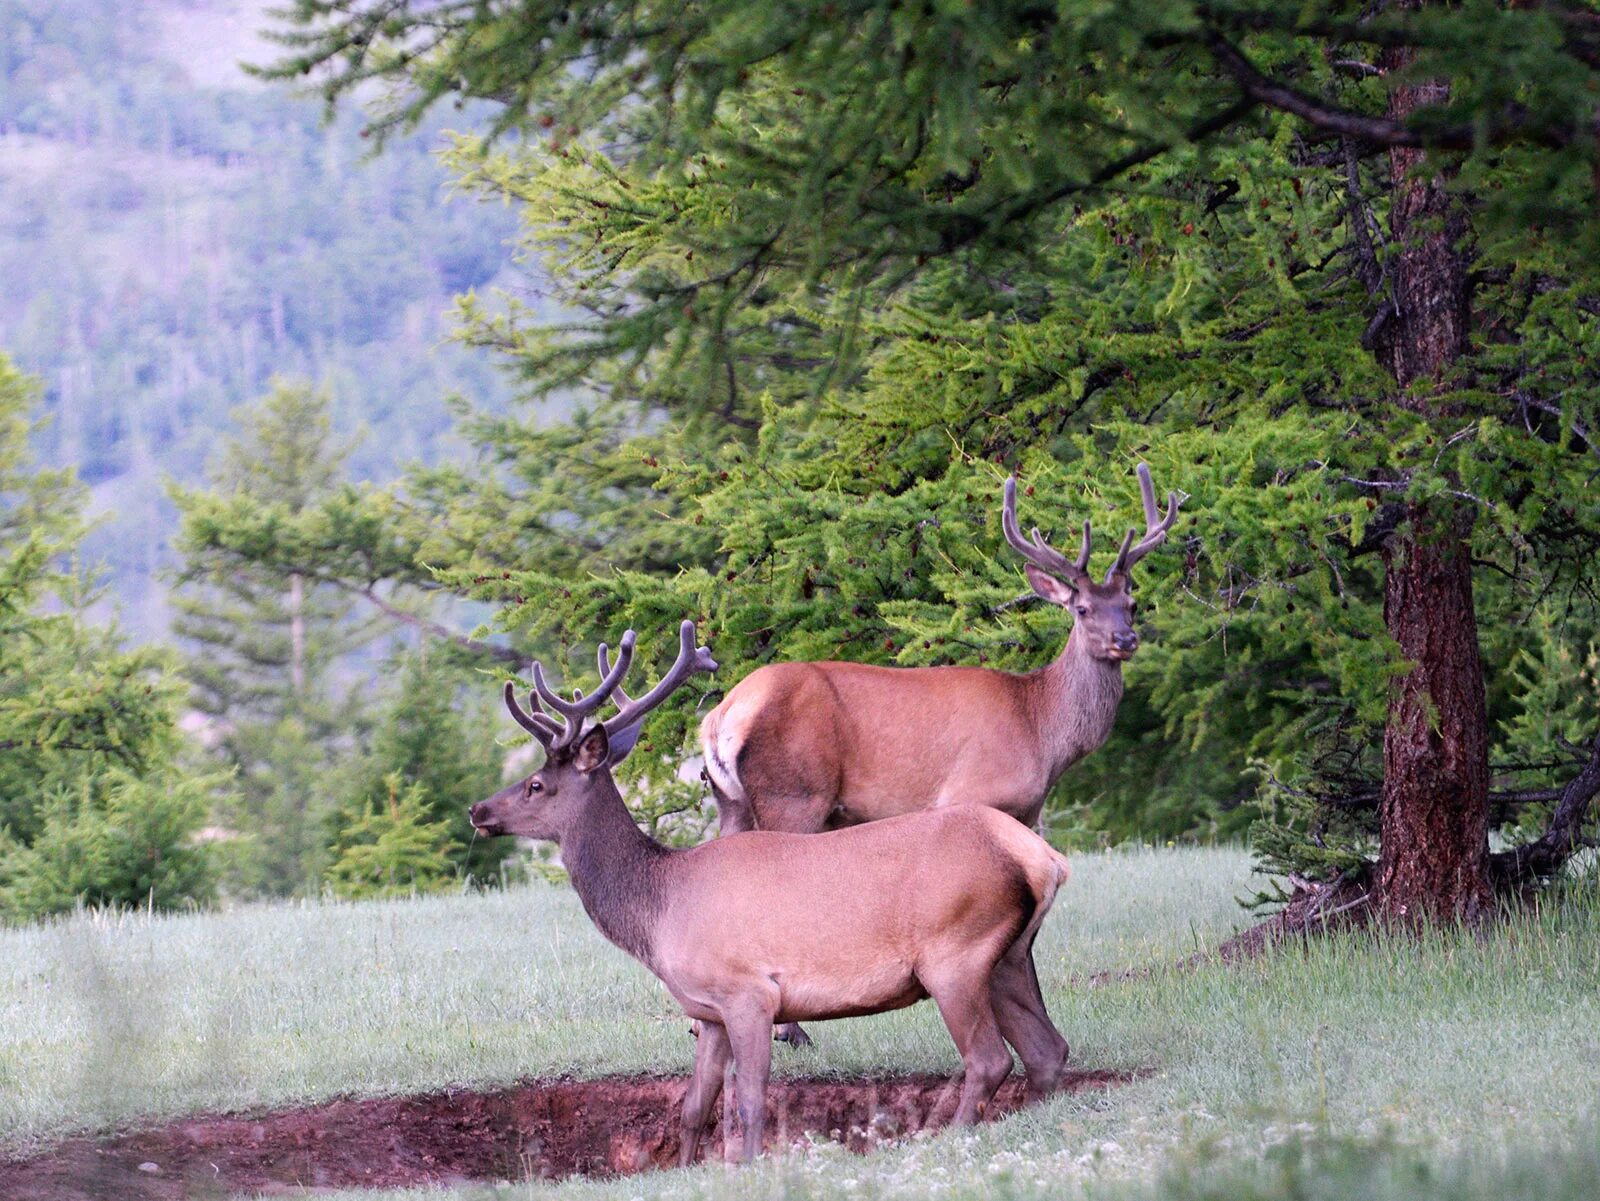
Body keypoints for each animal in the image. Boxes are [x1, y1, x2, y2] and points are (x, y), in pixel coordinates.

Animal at [470, 620, 1075, 1164]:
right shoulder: (710, 1011)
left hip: (955, 952)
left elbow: (750, 1100)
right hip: (1008, 955)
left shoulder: (749, 993)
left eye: (536, 785)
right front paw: (686, 1167)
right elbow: (694, 1106)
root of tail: (1043, 858)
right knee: (1048, 1051)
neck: (659, 908)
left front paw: (750, 1163)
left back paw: (948, 1138)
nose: (478, 810)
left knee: (990, 1059)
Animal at [697, 463, 1177, 1049]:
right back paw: (792, 1032)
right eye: (1082, 608)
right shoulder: (974, 793)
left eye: (1131, 604)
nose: (1125, 639)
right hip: (795, 791)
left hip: (731, 800)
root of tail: (723, 714)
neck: (1040, 729)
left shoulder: (1028, 813)